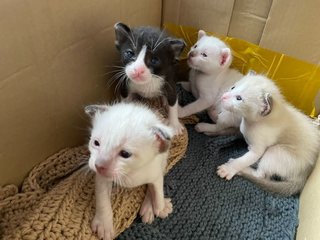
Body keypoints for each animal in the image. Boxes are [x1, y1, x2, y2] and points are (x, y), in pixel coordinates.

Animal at [85, 102, 172, 240]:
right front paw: (104, 224)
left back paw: (149, 207)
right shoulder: (102, 177)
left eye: (125, 154)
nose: (99, 165)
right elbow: (102, 198)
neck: (129, 173)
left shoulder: (155, 170)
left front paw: (161, 206)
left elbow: (157, 188)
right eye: (96, 143)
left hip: (164, 158)